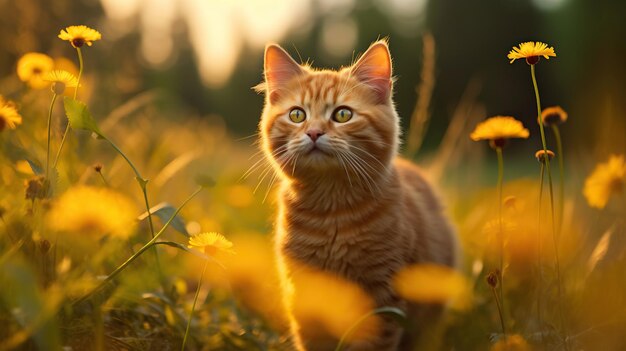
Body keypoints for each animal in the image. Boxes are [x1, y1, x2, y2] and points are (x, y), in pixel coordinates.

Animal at [256, 40, 456, 350]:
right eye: (297, 115)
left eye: (343, 114)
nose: (314, 132)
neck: (330, 213)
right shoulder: (305, 293)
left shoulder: (383, 296)